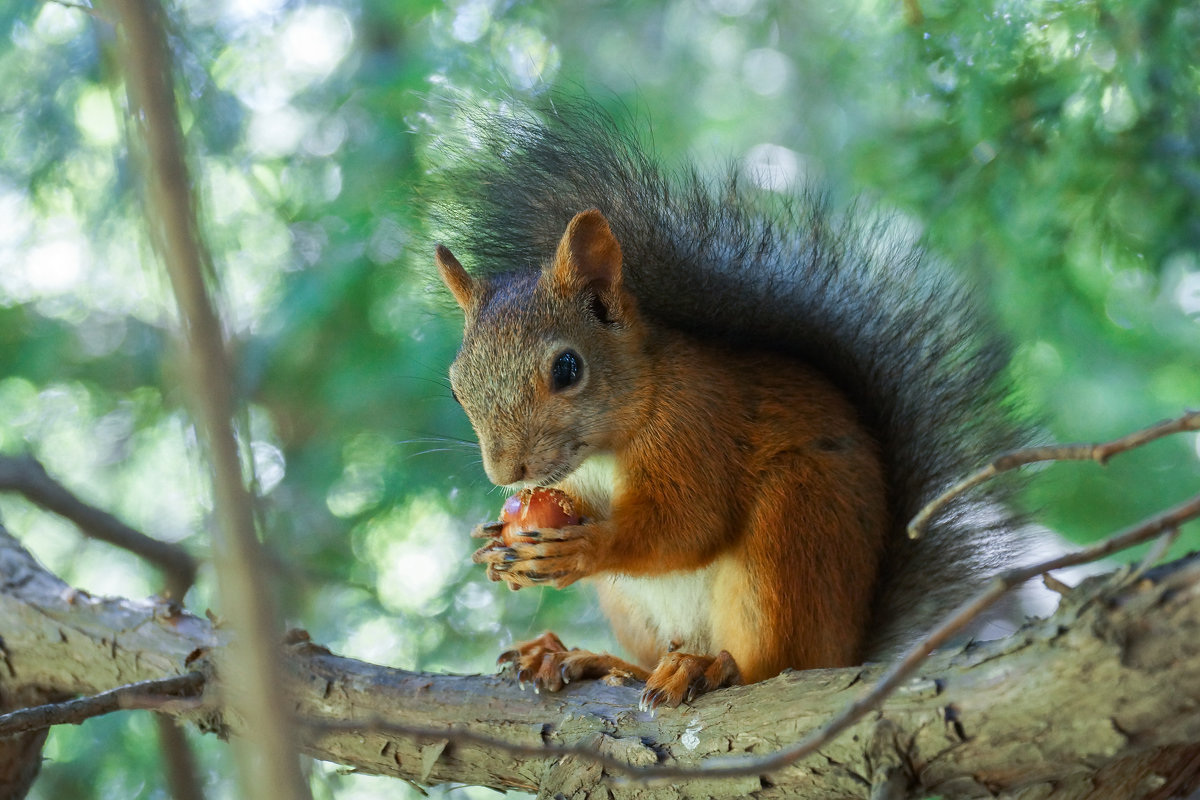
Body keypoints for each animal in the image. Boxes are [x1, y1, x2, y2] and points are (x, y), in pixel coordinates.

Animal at [427, 101, 1027, 714]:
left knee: (772, 663)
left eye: (568, 368)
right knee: (650, 659)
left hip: (792, 529)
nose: (507, 472)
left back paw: (711, 668)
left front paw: (588, 547)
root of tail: (848, 648)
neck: (607, 444)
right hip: (637, 608)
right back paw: (587, 658)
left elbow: (689, 523)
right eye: (455, 386)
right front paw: (492, 546)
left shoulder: (697, 427)